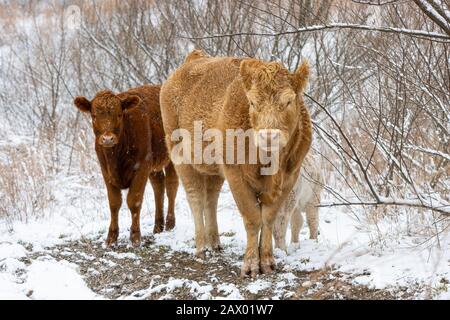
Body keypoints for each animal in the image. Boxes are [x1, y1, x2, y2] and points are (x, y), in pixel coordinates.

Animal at [74, 85, 179, 248]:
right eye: (94, 115)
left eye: (119, 115)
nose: (108, 138)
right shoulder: (106, 171)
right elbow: (114, 203)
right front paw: (111, 238)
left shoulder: (141, 167)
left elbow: (134, 201)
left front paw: (135, 237)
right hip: (154, 163)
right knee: (158, 186)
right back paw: (158, 226)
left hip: (173, 154)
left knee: (171, 186)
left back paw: (169, 224)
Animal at [160, 50, 312, 278]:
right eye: (252, 103)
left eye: (288, 101)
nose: (269, 136)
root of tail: (193, 59)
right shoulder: (236, 176)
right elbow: (252, 217)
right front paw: (251, 265)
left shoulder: (289, 177)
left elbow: (268, 217)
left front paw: (268, 262)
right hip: (181, 157)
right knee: (196, 198)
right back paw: (201, 248)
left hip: (214, 170)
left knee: (210, 199)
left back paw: (215, 243)